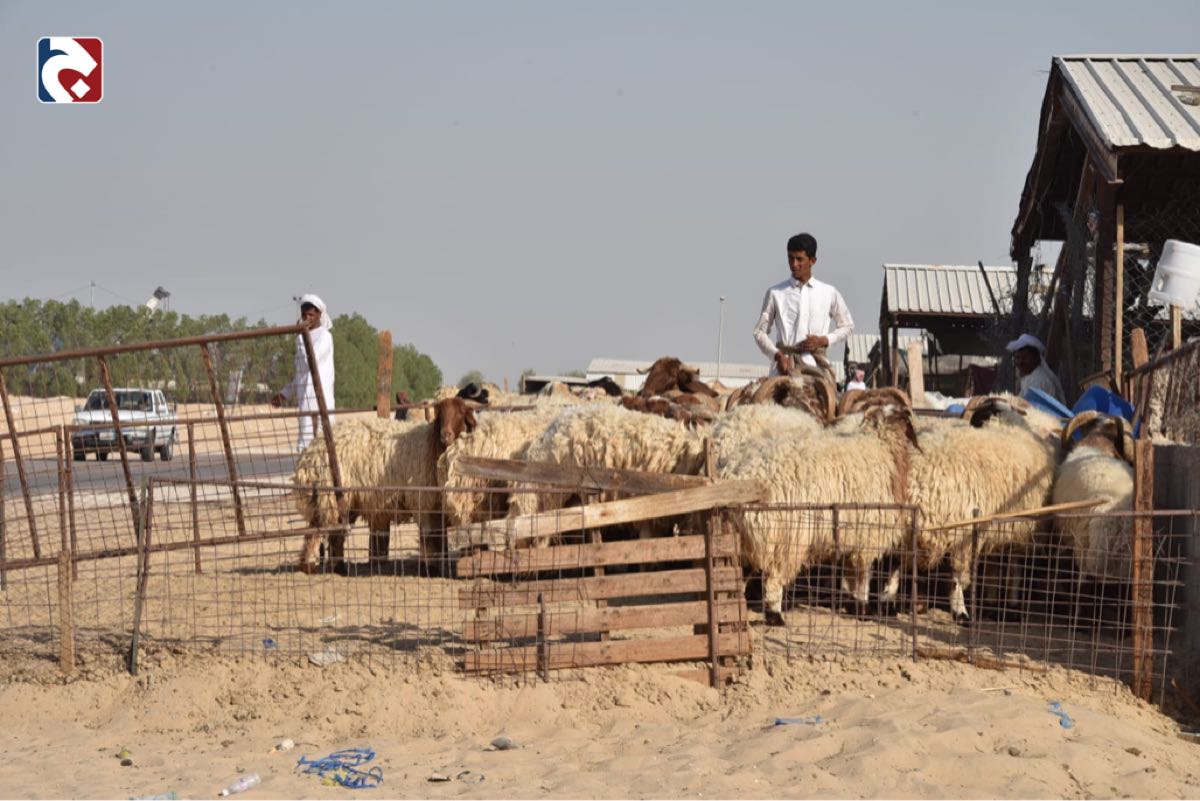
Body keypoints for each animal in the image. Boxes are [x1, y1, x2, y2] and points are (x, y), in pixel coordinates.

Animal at [292, 397, 476, 573]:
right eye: (441, 414)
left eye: (461, 413)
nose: (446, 435)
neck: (432, 446)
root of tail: (310, 450)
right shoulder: (423, 501)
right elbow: (429, 537)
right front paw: (429, 569)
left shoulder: (437, 506)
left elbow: (440, 539)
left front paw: (440, 566)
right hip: (328, 494)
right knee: (316, 531)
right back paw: (309, 566)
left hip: (345, 501)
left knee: (334, 534)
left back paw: (338, 568)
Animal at [717, 403, 921, 625]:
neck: (882, 445)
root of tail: (737, 473)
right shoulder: (868, 536)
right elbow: (862, 576)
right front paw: (864, 609)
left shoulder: (852, 537)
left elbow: (850, 576)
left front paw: (853, 606)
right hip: (785, 537)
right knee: (773, 580)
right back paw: (775, 616)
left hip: (745, 539)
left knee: (739, 574)